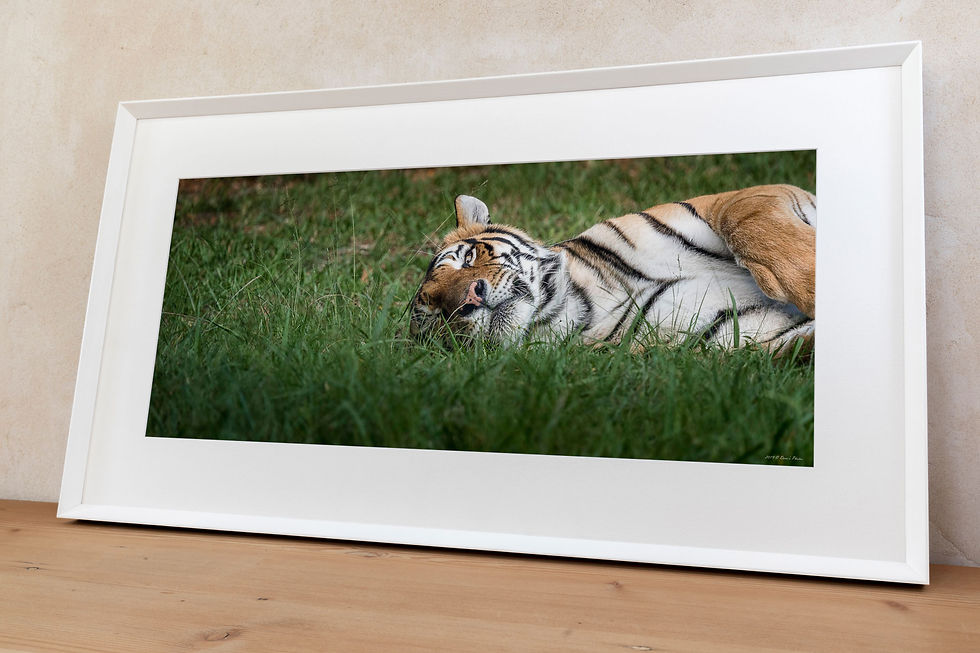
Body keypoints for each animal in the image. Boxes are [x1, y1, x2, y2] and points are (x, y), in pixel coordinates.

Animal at [410, 185, 816, 354]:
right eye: (437, 318)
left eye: (467, 258)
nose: (467, 300)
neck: (588, 297)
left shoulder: (736, 200)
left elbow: (746, 219)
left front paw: (809, 285)